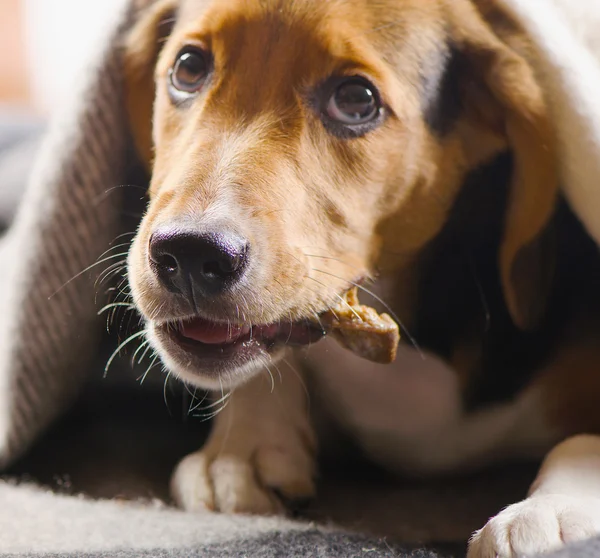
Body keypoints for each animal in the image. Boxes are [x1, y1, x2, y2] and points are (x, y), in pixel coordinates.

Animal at [123, 2, 600, 556]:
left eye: (356, 100)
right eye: (188, 68)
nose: (189, 251)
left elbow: (580, 441)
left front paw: (549, 513)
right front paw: (242, 444)